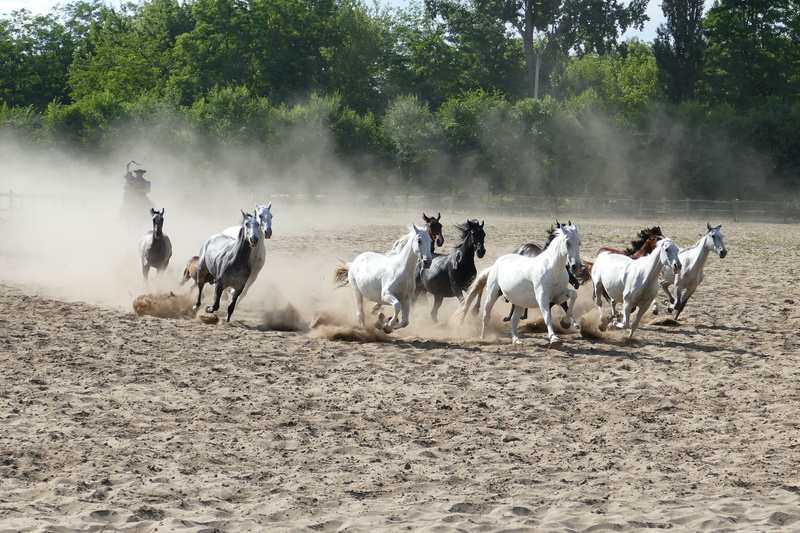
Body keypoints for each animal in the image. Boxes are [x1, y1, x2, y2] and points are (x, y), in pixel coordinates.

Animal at [454, 222, 582, 347]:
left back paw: (516, 340)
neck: (553, 268)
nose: (576, 266)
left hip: (520, 302)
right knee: (486, 316)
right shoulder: (542, 297)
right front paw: (554, 339)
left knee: (513, 320)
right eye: (567, 242)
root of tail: (495, 265)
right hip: (492, 294)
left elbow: (573, 295)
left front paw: (565, 323)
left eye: (579, 243)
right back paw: (484, 338)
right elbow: (547, 317)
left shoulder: (557, 297)